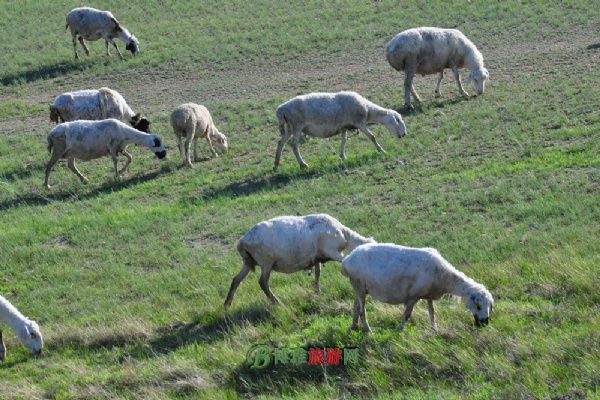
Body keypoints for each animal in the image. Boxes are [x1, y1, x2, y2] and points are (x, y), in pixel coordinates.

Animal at [225, 214, 376, 308]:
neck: (345, 235)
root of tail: (242, 241)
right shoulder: (331, 251)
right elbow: (343, 262)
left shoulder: (317, 257)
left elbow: (317, 274)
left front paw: (317, 292)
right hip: (266, 261)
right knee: (263, 282)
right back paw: (277, 302)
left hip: (249, 262)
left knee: (236, 280)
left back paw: (227, 304)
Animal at [274, 90, 408, 170]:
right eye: (398, 120)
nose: (404, 134)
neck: (367, 108)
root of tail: (281, 109)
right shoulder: (359, 123)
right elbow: (372, 136)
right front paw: (382, 150)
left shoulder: (344, 127)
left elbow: (344, 141)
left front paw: (343, 156)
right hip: (297, 126)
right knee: (294, 146)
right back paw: (302, 164)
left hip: (289, 127)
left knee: (280, 143)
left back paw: (276, 165)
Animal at [340, 242, 494, 332]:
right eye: (478, 306)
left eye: (490, 306)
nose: (484, 323)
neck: (443, 277)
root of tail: (347, 260)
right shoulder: (414, 295)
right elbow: (407, 314)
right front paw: (400, 330)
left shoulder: (429, 295)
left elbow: (432, 311)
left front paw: (434, 329)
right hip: (359, 284)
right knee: (362, 310)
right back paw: (368, 330)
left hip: (360, 287)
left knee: (356, 306)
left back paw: (354, 326)